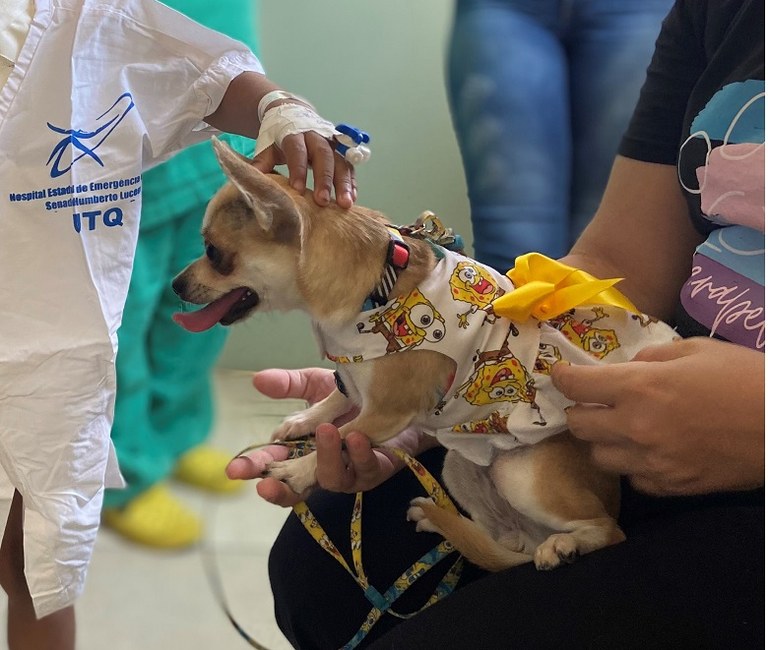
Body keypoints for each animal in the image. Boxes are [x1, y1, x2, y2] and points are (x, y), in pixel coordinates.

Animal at [174, 139, 680, 568]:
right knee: (505, 544)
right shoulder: (352, 373)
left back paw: (564, 544)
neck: (373, 294)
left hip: (524, 474)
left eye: (213, 253)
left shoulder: (385, 412)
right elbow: (338, 396)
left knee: (605, 529)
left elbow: (341, 439)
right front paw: (305, 419)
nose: (175, 284)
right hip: (459, 468)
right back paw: (447, 524)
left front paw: (298, 470)